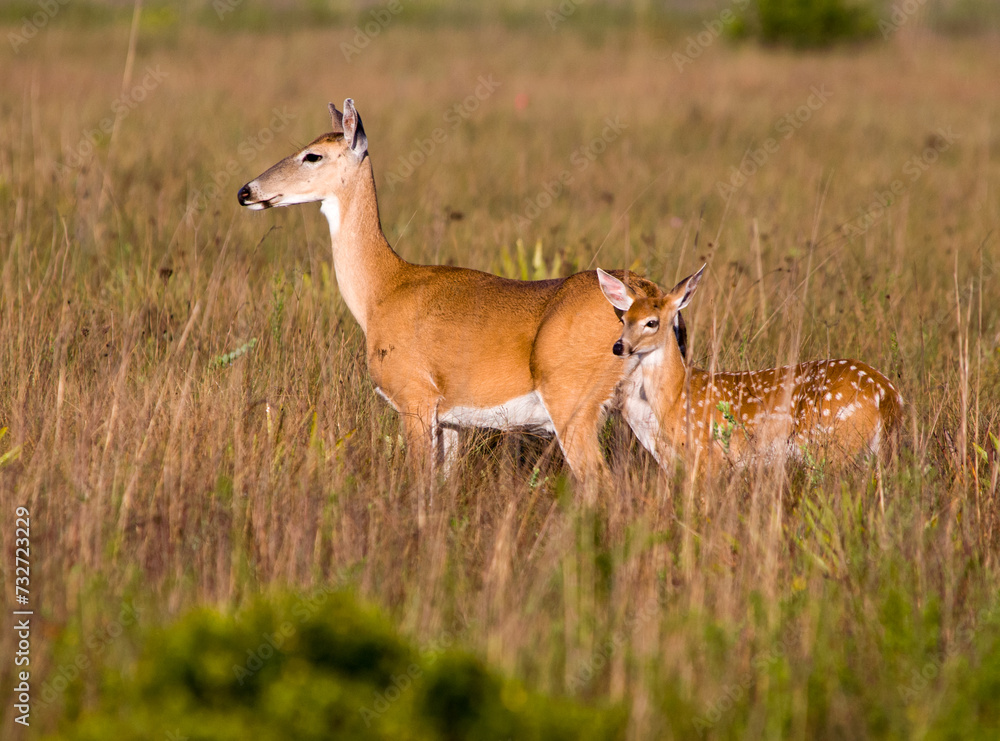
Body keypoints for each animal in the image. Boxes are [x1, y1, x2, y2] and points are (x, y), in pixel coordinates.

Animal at [237, 99, 687, 482]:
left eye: (312, 155)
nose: (246, 191)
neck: (382, 291)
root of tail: (652, 298)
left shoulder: (415, 398)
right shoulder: (450, 419)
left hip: (573, 402)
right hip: (647, 404)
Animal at [597, 265, 903, 470]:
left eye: (651, 322)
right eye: (624, 319)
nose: (619, 347)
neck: (676, 395)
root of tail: (887, 395)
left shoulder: (709, 455)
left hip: (832, 443)